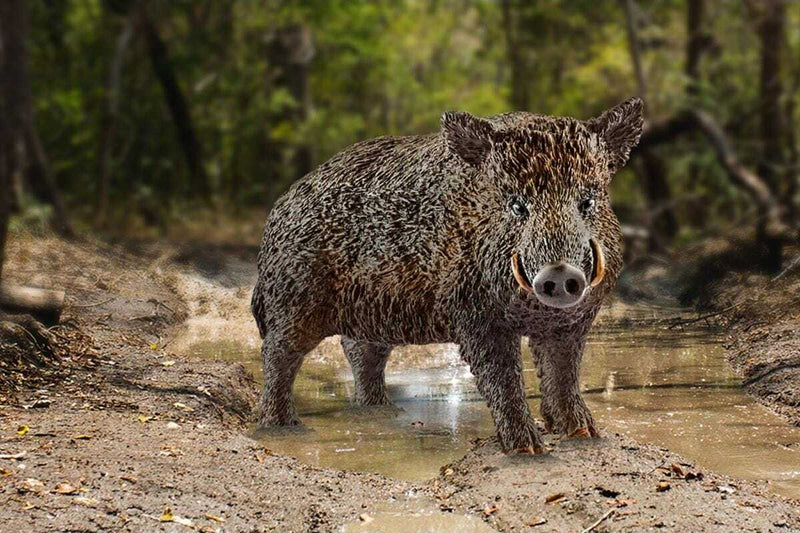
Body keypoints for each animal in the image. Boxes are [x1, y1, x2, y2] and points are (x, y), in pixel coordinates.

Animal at [251, 98, 643, 453]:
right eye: (517, 205)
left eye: (588, 201)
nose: (560, 273)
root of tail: (276, 213)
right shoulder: (474, 315)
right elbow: (503, 377)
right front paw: (527, 449)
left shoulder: (573, 323)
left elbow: (563, 374)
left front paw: (585, 434)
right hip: (292, 299)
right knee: (277, 354)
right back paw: (284, 427)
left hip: (371, 310)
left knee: (360, 352)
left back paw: (380, 412)